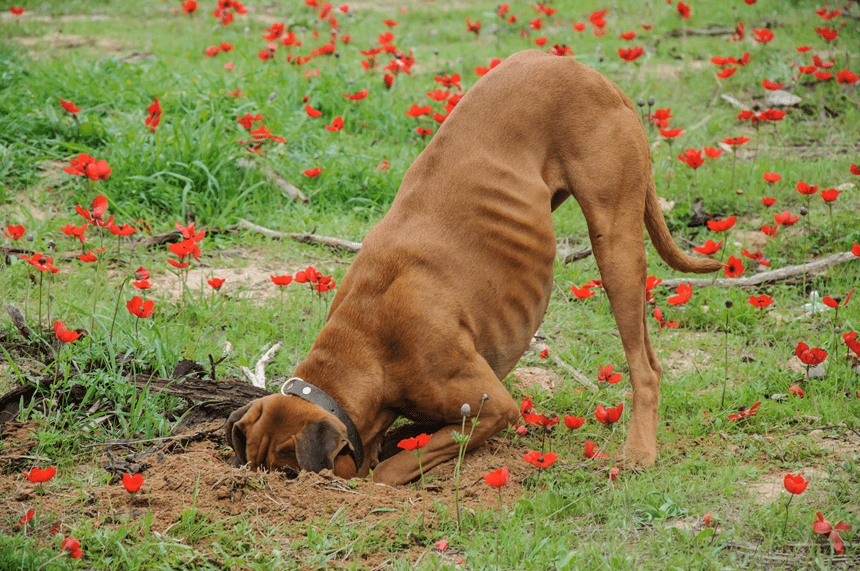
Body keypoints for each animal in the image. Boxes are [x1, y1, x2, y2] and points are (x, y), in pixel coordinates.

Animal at [225, 50, 724, 488]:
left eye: (289, 475)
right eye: (251, 468)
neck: (368, 342)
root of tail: (587, 72)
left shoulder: (492, 408)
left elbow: (395, 466)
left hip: (615, 243)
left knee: (645, 365)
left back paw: (639, 451)